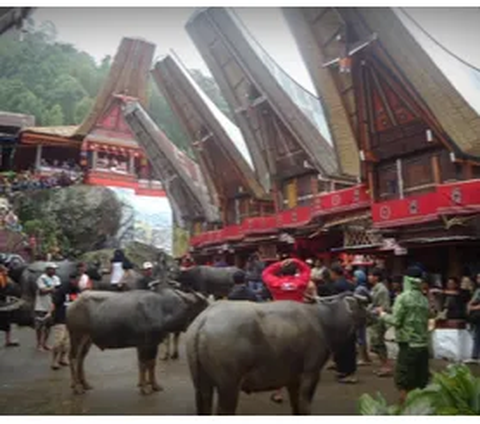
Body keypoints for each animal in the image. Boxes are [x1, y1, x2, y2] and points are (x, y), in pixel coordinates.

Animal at [67, 286, 208, 396]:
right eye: (203, 307)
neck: (161, 310)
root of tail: (73, 304)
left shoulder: (151, 344)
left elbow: (150, 364)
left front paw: (154, 385)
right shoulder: (145, 345)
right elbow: (144, 364)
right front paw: (145, 388)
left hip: (87, 340)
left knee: (80, 359)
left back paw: (85, 384)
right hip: (77, 336)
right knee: (73, 358)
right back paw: (77, 387)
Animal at [185, 294, 368, 416]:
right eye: (362, 306)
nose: (372, 315)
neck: (323, 322)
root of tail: (203, 320)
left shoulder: (293, 379)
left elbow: (296, 406)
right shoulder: (310, 373)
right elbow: (304, 406)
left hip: (202, 385)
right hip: (228, 387)